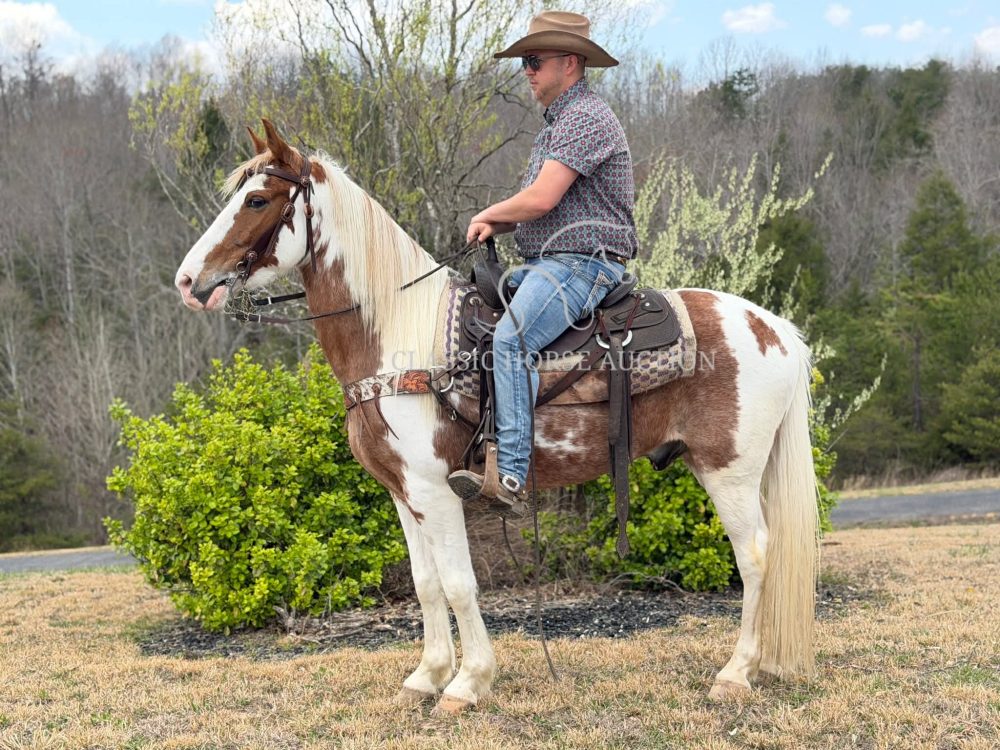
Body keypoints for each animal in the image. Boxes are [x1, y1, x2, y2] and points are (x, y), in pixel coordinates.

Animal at [175, 119, 819, 714]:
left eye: (257, 200)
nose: (187, 281)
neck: (397, 336)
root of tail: (773, 329)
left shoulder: (437, 491)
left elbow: (460, 584)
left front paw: (468, 683)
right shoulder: (403, 492)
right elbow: (426, 585)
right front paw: (427, 676)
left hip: (729, 470)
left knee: (755, 555)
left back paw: (735, 674)